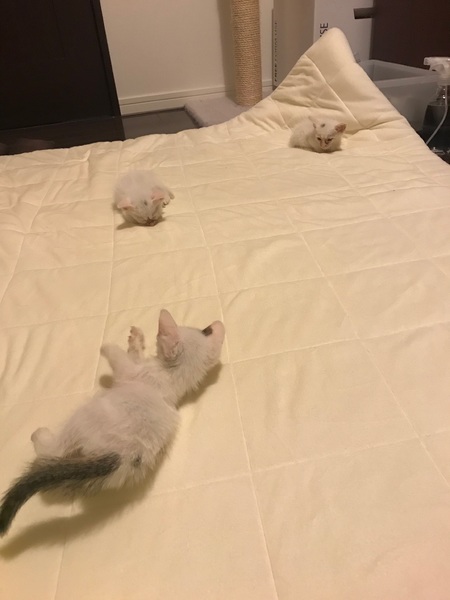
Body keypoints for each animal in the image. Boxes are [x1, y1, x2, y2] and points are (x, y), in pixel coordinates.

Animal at [0, 309, 225, 535]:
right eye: (206, 331)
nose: (216, 324)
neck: (170, 381)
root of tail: (120, 457)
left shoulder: (130, 372)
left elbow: (117, 355)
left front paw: (106, 346)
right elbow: (133, 355)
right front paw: (136, 339)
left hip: (84, 416)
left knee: (54, 450)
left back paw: (40, 436)